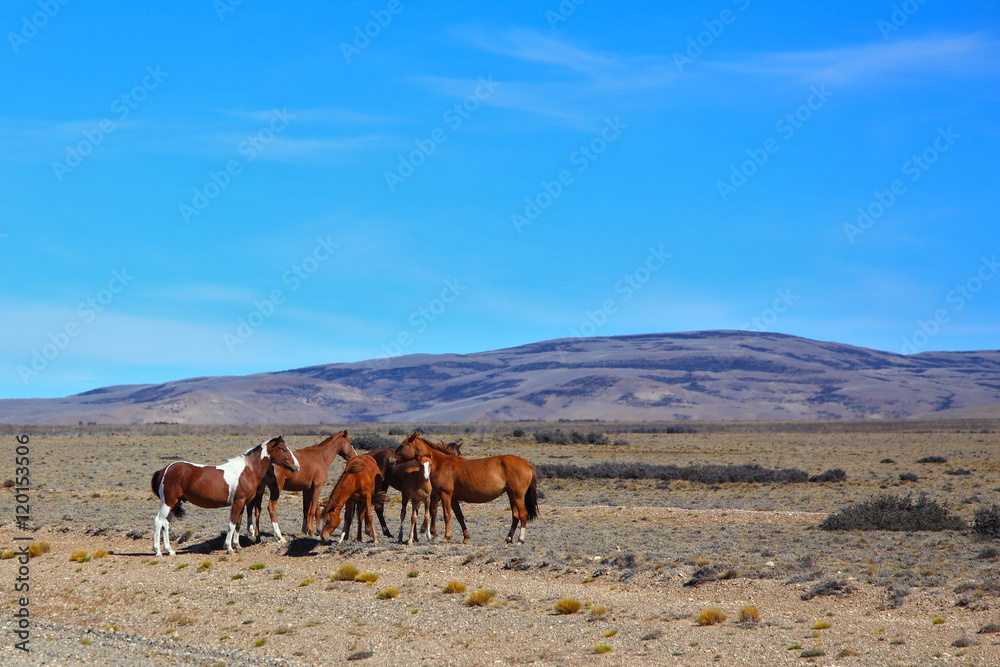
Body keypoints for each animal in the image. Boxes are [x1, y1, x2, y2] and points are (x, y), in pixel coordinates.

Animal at [148, 438, 296, 560]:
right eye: (284, 449)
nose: (296, 467)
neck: (247, 471)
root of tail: (164, 470)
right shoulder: (238, 502)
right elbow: (231, 524)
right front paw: (229, 548)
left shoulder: (242, 504)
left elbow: (238, 524)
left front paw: (237, 546)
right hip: (168, 502)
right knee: (158, 521)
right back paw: (158, 552)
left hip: (174, 503)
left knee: (166, 524)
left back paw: (170, 551)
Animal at [394, 430, 544, 544]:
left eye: (402, 445)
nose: (392, 459)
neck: (442, 463)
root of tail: (527, 464)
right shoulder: (453, 498)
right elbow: (460, 516)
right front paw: (466, 537)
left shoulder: (446, 495)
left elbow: (447, 515)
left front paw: (446, 537)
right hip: (511, 495)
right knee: (515, 515)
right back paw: (508, 538)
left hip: (518, 495)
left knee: (523, 514)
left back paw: (520, 539)